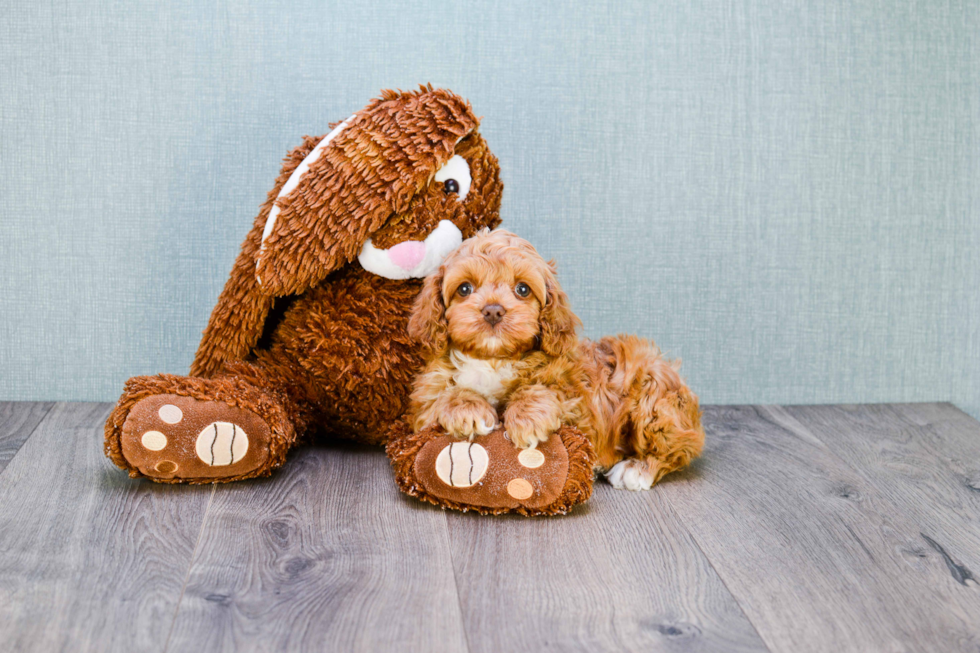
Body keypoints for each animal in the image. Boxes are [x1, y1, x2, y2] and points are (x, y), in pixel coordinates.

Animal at [406, 229, 704, 488]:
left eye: (523, 289)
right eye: (464, 289)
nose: (493, 311)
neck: (493, 358)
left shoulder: (575, 399)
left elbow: (546, 390)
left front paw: (526, 418)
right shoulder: (424, 403)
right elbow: (441, 398)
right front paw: (468, 409)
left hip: (653, 396)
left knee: (679, 448)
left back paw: (636, 469)